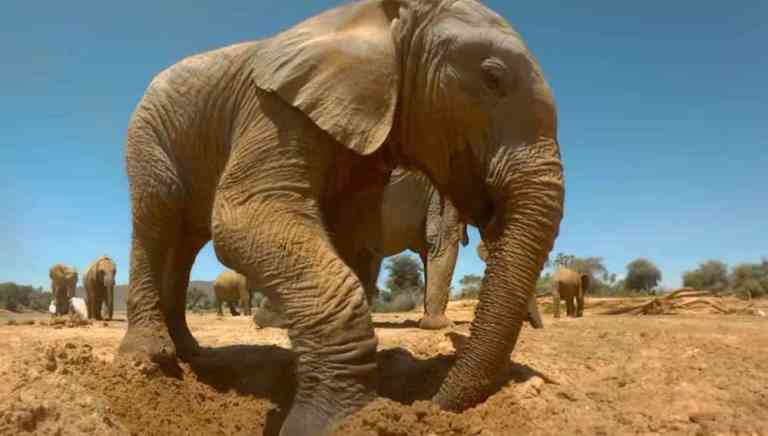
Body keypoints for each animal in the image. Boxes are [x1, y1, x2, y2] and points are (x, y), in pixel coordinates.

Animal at [120, 1, 564, 434]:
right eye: (492, 78)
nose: (432, 406)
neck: (383, 20)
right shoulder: (274, 111)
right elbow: (241, 221)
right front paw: (334, 421)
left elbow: (354, 240)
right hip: (149, 133)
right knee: (157, 216)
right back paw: (150, 356)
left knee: (187, 242)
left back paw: (192, 352)